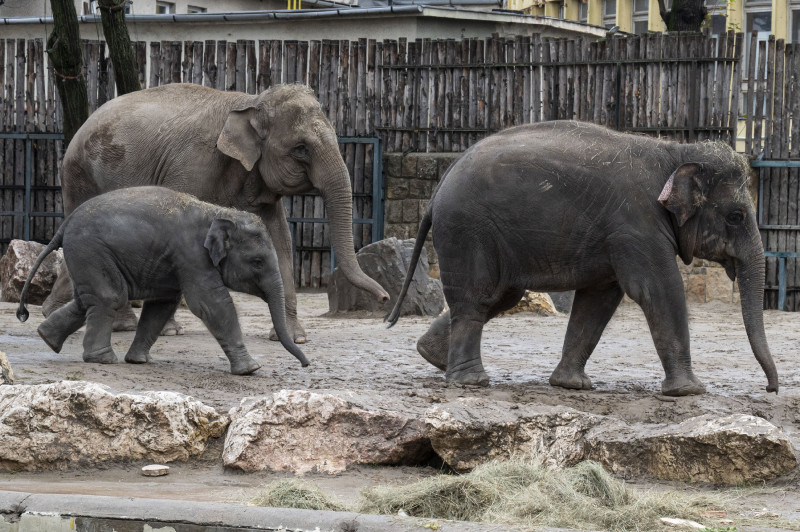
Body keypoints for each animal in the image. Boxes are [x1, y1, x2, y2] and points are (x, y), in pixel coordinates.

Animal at [18, 187, 310, 374]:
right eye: (258, 262)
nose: (306, 365)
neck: (217, 212)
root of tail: (63, 226)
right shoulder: (192, 256)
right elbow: (210, 303)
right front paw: (251, 369)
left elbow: (162, 304)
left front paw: (138, 361)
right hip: (91, 251)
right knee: (110, 297)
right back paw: (103, 360)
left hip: (86, 256)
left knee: (88, 300)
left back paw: (47, 338)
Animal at [46, 83, 390, 340]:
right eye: (301, 149)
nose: (385, 300)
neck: (251, 102)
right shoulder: (193, 164)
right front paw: (170, 328)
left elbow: (280, 241)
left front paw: (294, 337)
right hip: (80, 177)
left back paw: (62, 312)